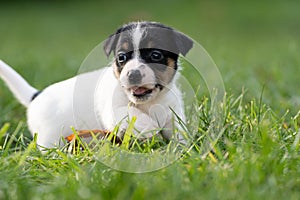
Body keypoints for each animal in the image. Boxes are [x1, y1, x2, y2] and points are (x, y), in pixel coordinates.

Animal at [0, 21, 193, 148]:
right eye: (121, 57)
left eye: (155, 55)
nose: (133, 75)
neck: (148, 103)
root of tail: (36, 96)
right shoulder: (113, 111)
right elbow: (132, 114)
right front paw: (150, 128)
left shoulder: (172, 114)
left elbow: (178, 133)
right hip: (49, 139)